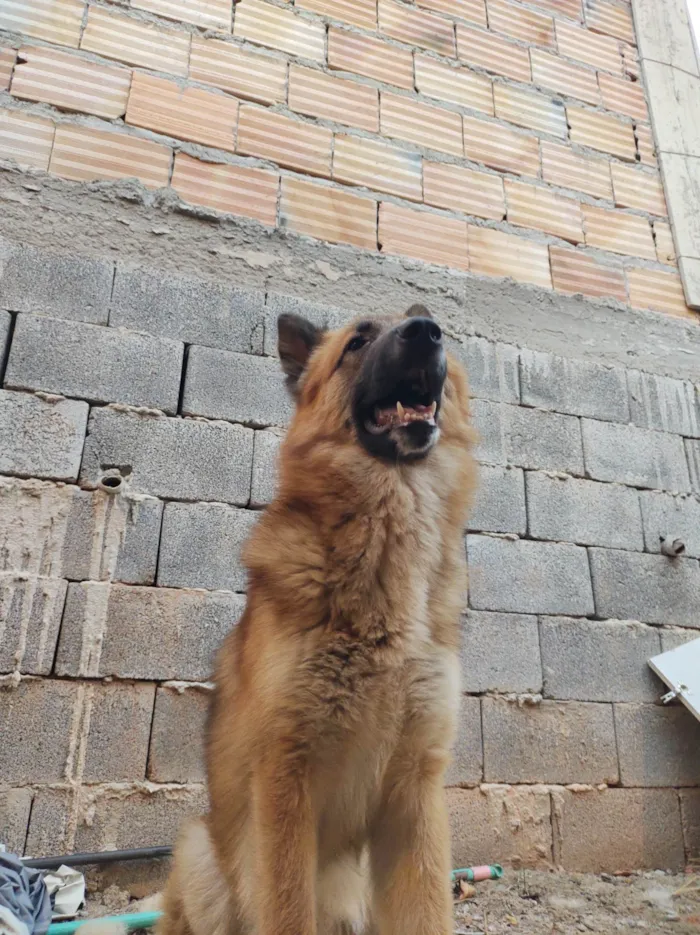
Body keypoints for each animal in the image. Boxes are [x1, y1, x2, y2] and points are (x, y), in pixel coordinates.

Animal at [158, 304, 476, 935]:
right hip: (203, 854)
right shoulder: (285, 781)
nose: (426, 333)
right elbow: (286, 909)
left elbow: (427, 911)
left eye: (431, 324)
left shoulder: (416, 793)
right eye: (357, 342)